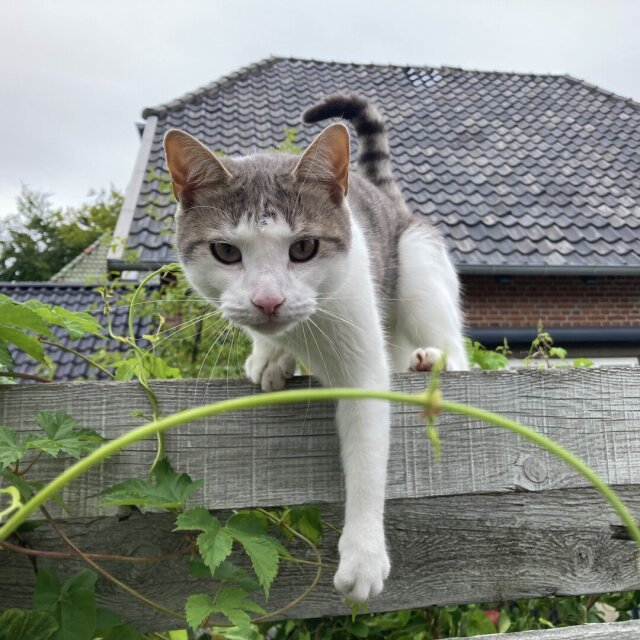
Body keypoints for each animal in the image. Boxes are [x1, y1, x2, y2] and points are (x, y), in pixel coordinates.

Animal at [163, 93, 468, 602]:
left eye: (303, 247)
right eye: (226, 252)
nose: (268, 300)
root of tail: (389, 201)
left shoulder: (364, 364)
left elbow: (367, 455)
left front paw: (364, 555)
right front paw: (269, 356)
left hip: (418, 266)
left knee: (457, 350)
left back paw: (430, 360)